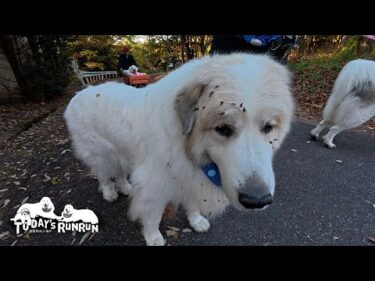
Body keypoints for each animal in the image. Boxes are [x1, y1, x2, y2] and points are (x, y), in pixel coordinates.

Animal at [64, 53, 294, 245]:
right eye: (223, 129)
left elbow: (192, 203)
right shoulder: (154, 186)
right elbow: (153, 215)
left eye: (268, 127)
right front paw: (153, 238)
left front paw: (196, 221)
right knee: (103, 174)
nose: (258, 200)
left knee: (119, 172)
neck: (186, 145)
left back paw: (125, 187)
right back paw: (110, 193)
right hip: (102, 155)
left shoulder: (189, 176)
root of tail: (80, 93)